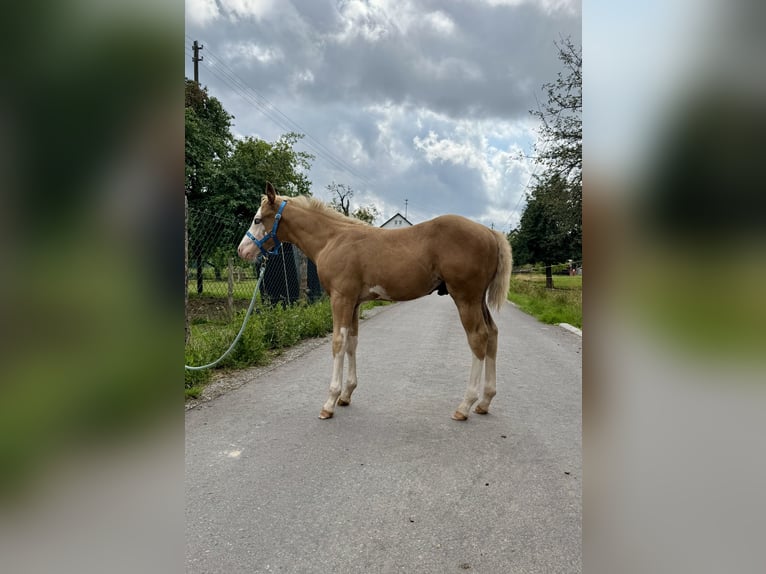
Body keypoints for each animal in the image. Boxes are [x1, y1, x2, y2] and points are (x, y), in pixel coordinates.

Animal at [238, 183, 512, 421]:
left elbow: (338, 342)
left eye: (258, 219)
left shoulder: (341, 298)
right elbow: (352, 342)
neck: (333, 239)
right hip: (478, 300)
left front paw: (330, 402)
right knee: (493, 334)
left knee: (478, 338)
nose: (242, 250)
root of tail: (490, 232)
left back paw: (465, 406)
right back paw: (485, 401)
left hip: (466, 297)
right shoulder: (354, 302)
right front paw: (346, 394)